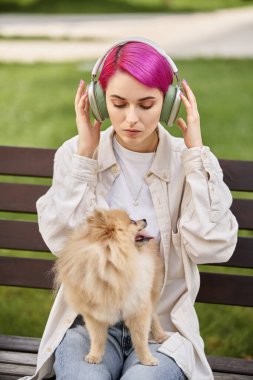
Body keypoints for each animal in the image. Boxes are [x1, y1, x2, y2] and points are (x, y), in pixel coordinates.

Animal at [53, 208, 168, 366]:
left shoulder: (138, 306)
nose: (144, 219)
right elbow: (97, 338)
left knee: (154, 314)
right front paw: (94, 356)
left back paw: (160, 335)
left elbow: (140, 339)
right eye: (133, 222)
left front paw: (147, 359)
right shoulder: (95, 313)